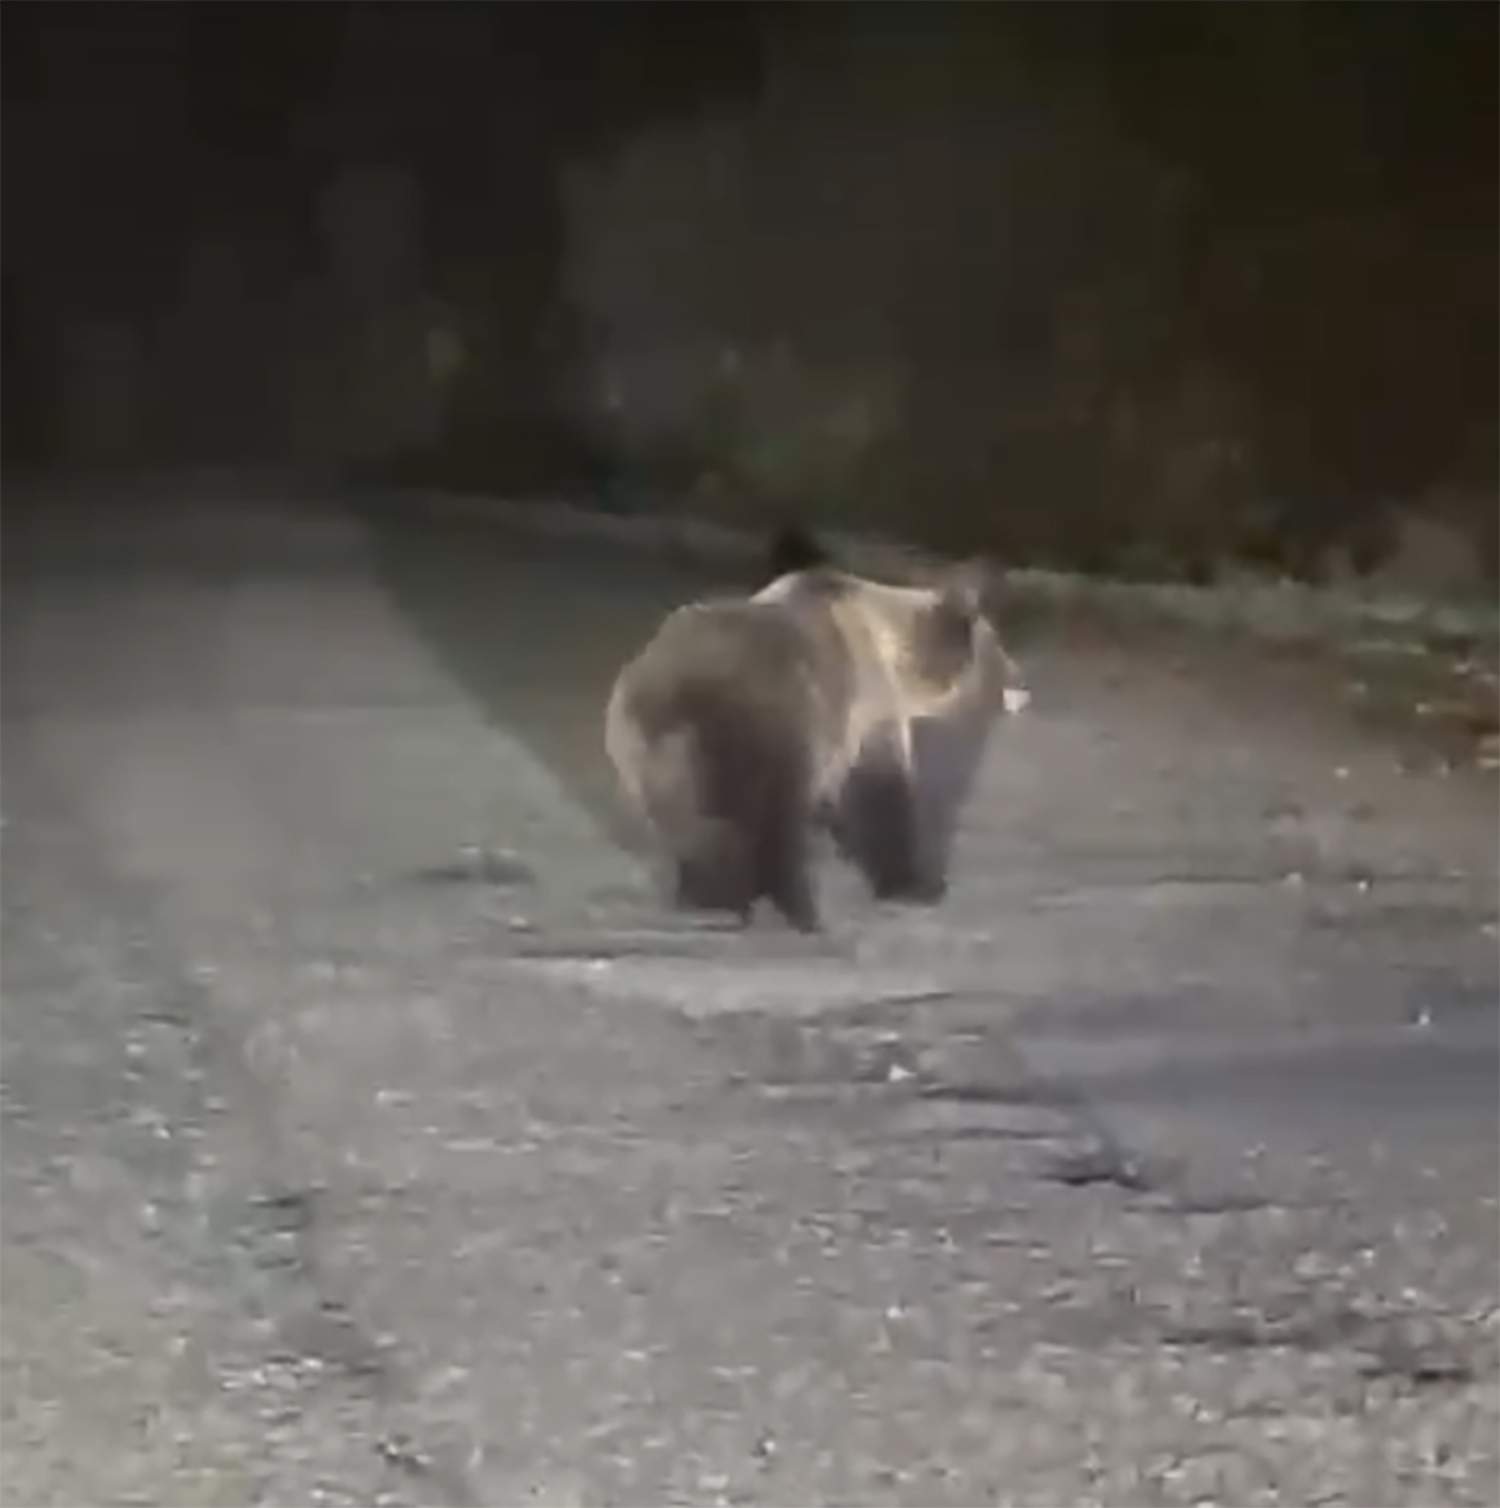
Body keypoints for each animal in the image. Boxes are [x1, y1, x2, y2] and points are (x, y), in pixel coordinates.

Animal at [604, 538, 1024, 930]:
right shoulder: (862, 702)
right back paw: (793, 908)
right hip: (767, 726)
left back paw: (709, 900)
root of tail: (675, 693)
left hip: (647, 753)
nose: (1020, 683)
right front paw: (915, 886)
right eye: (998, 647)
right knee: (770, 826)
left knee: (697, 830)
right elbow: (878, 791)